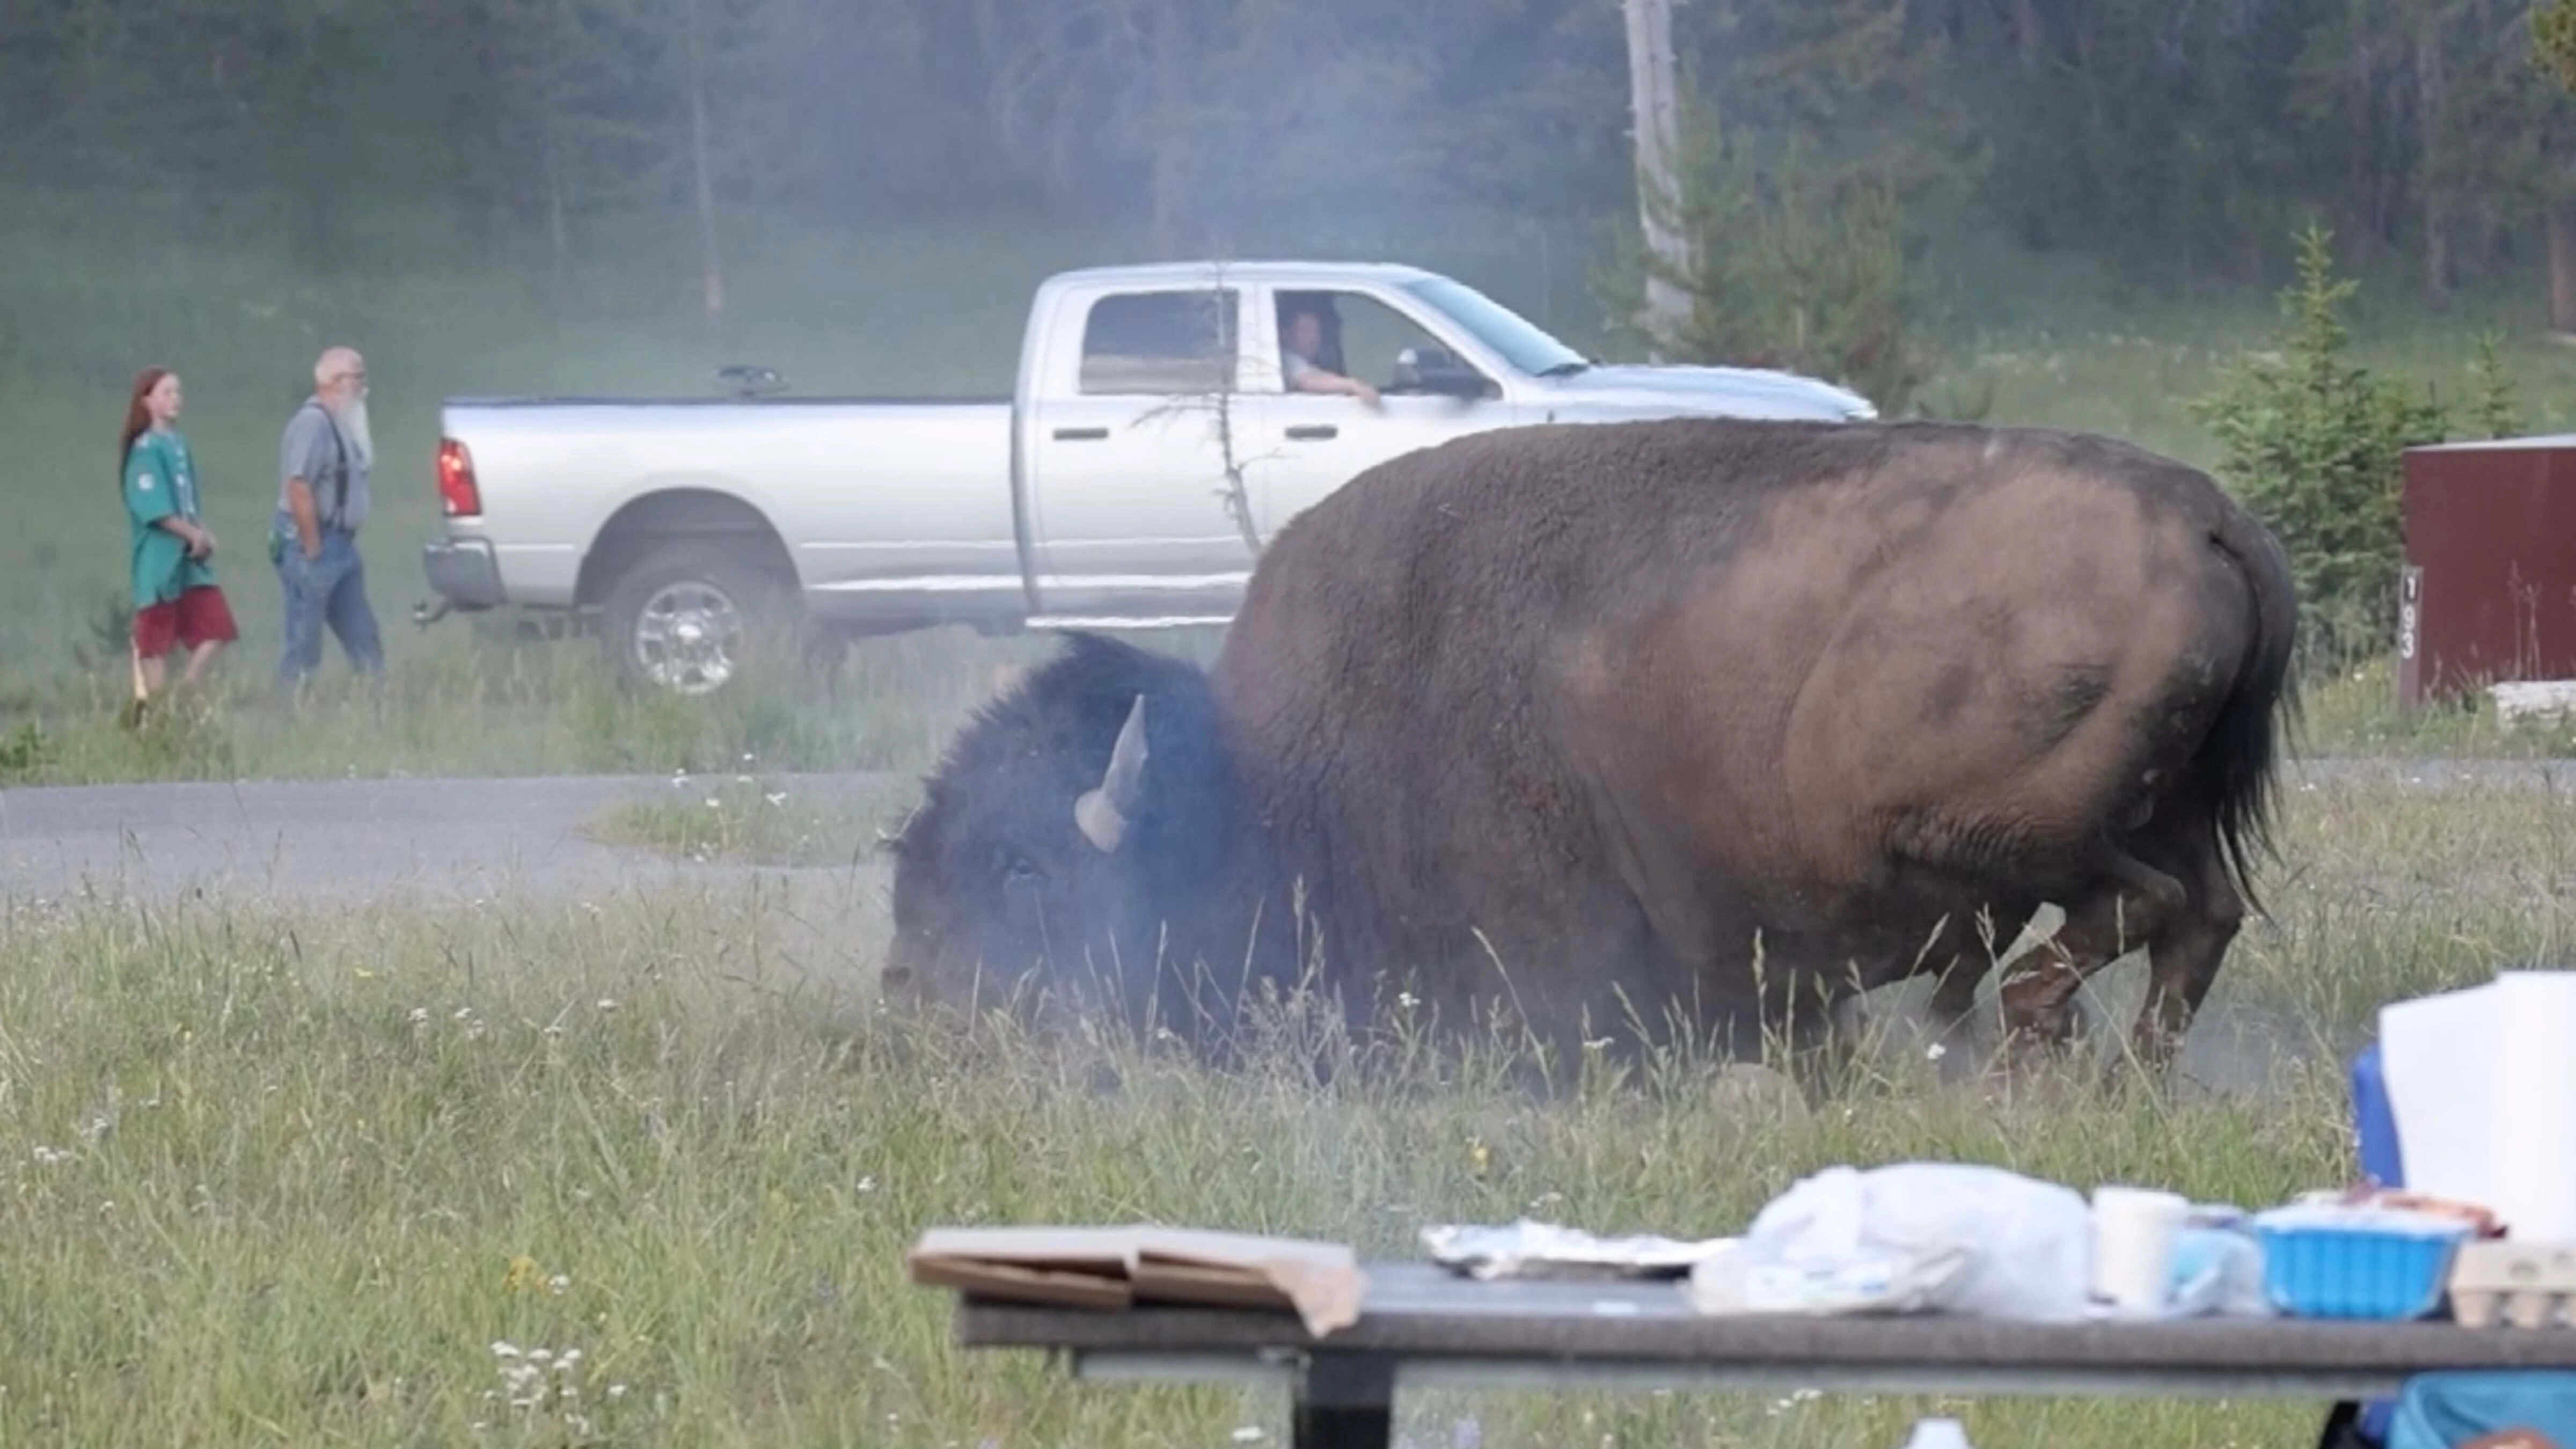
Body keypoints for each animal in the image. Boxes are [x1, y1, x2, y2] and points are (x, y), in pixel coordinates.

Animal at [883, 417, 2299, 1074]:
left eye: (1021, 866)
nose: (918, 999)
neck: (1264, 780)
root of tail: (2209, 513)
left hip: (1999, 828)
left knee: (2123, 912)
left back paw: (2019, 1055)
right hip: (2153, 811)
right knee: (2198, 916)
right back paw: (2121, 1080)